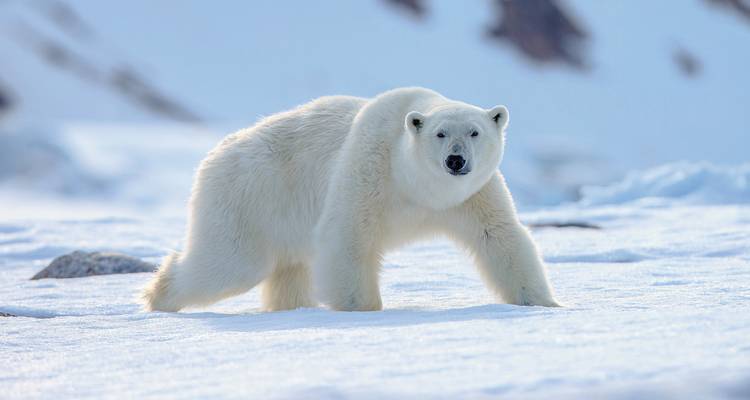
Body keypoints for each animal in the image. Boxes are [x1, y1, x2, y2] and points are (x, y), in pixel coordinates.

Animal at [142, 87, 560, 312]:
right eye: (440, 134)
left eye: (475, 132)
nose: (455, 161)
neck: (417, 187)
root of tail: (214, 155)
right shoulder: (370, 168)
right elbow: (348, 236)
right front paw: (363, 310)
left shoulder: (473, 195)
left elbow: (500, 237)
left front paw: (544, 303)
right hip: (249, 198)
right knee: (229, 263)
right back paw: (158, 296)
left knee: (287, 270)